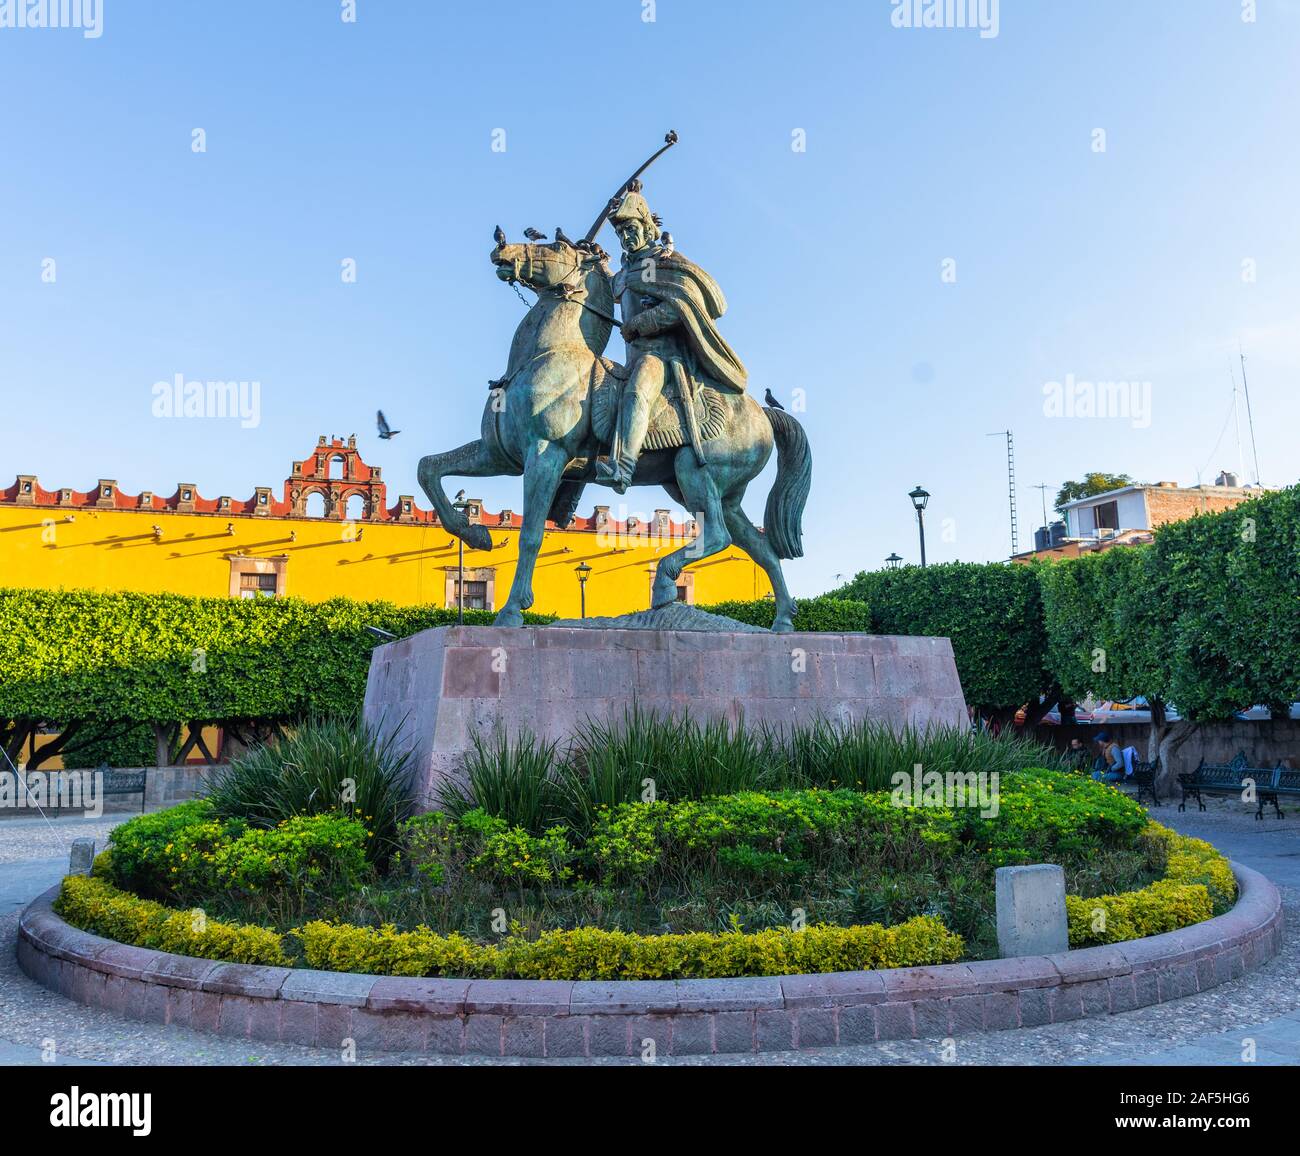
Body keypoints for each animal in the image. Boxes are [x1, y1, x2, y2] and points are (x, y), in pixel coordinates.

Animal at [416, 234, 806, 631]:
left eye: (556, 246)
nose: (503, 249)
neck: (550, 354)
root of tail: (762, 413)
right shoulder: (499, 455)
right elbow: (429, 468)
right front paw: (472, 532)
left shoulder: (545, 454)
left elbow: (531, 535)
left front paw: (512, 611)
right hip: (713, 493)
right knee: (761, 548)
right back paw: (781, 622)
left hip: (696, 471)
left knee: (716, 534)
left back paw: (665, 583)